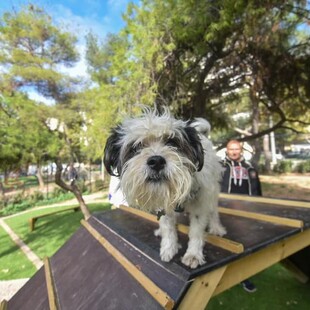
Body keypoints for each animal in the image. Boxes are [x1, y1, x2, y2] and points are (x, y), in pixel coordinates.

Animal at [103, 108, 225, 268]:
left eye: (172, 142)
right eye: (136, 147)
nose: (156, 161)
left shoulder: (200, 203)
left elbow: (196, 230)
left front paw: (193, 254)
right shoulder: (163, 204)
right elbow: (168, 227)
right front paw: (169, 248)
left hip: (212, 190)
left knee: (214, 210)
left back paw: (216, 227)